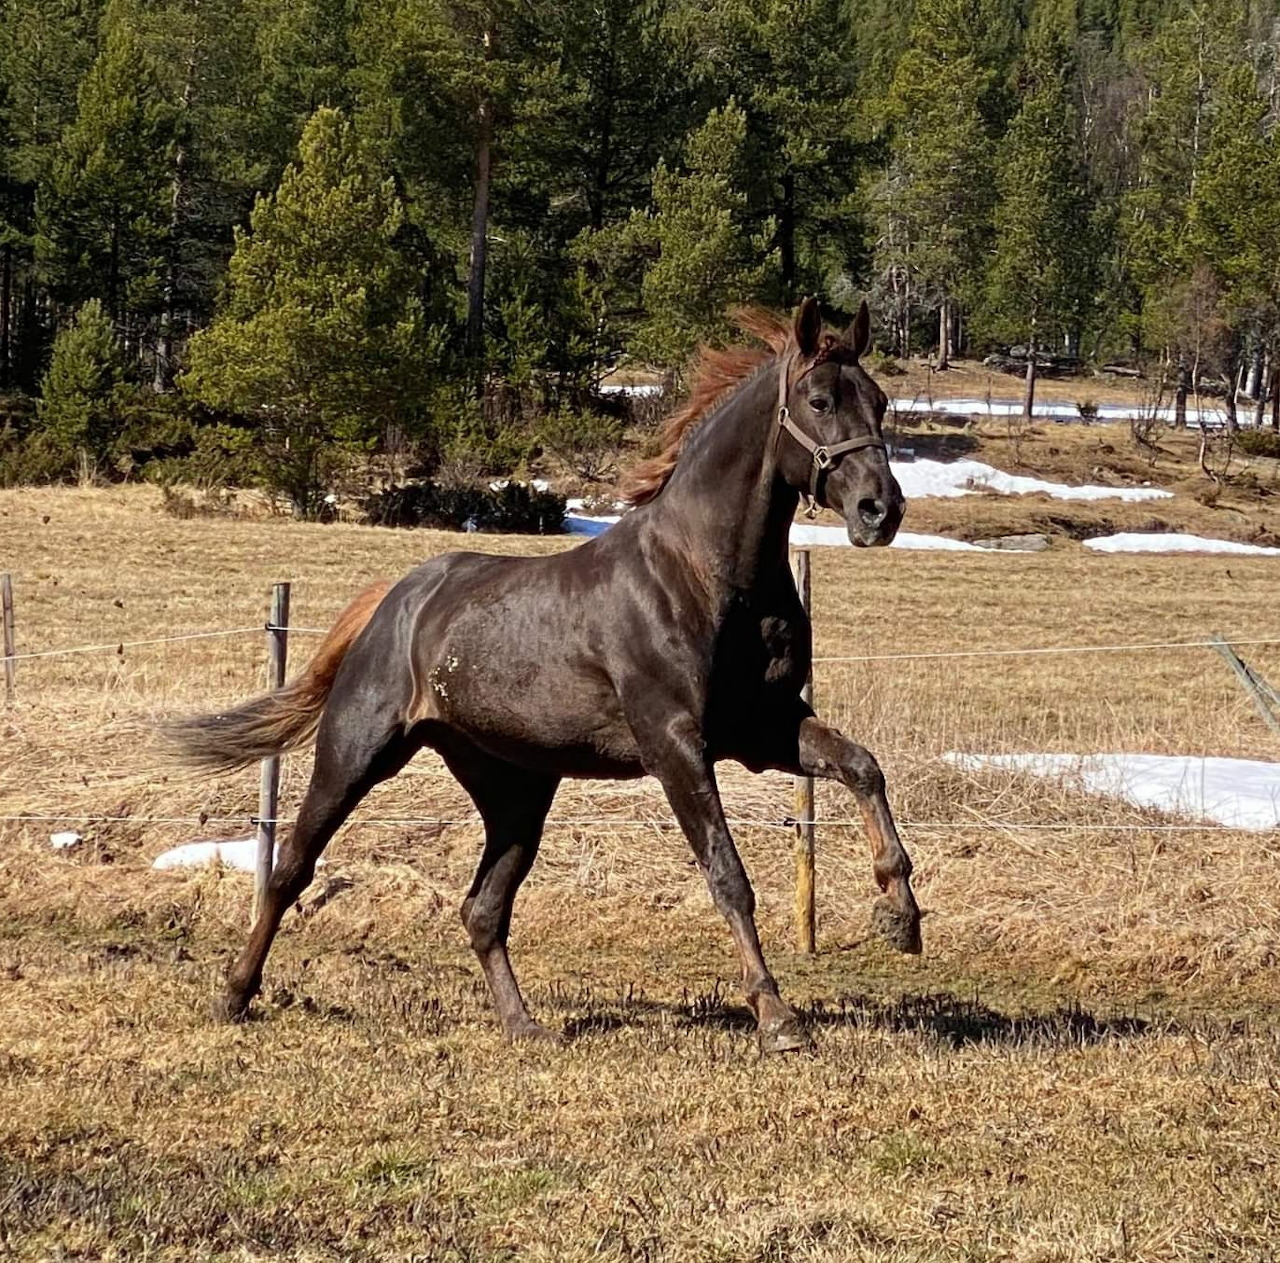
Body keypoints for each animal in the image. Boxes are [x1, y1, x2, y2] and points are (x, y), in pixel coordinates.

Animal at [166, 297, 921, 1053]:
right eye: (820, 401)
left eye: (880, 401)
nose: (881, 510)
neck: (706, 574)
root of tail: (396, 599)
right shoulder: (676, 743)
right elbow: (727, 873)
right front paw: (777, 1016)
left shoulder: (763, 728)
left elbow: (862, 766)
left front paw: (900, 911)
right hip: (355, 755)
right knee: (292, 868)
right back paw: (234, 994)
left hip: (516, 790)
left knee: (482, 908)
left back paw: (524, 1024)